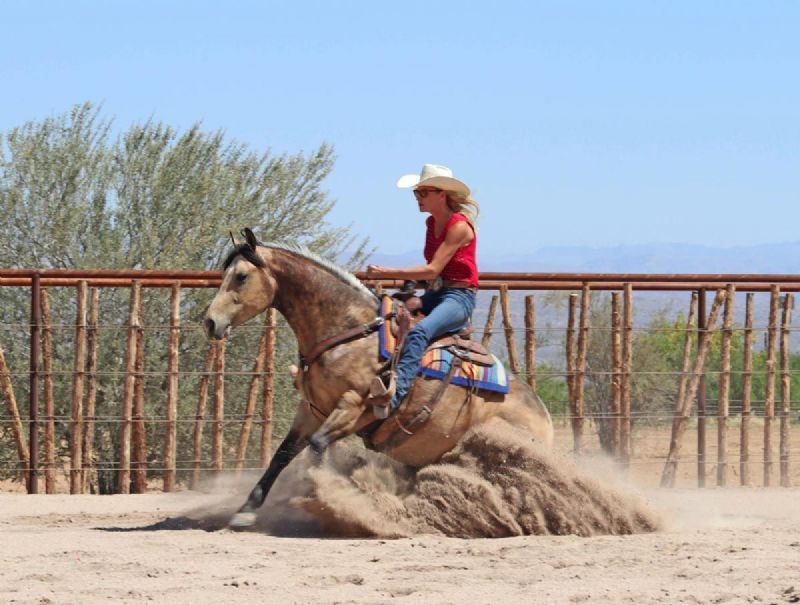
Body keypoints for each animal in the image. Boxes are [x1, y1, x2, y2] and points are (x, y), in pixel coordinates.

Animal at [204, 229, 554, 528]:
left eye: (241, 276)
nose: (210, 322)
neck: (348, 330)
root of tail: (544, 418)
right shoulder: (311, 408)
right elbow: (283, 454)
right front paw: (246, 511)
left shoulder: (356, 407)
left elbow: (317, 447)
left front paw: (326, 497)